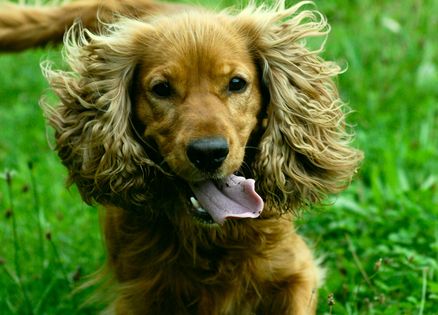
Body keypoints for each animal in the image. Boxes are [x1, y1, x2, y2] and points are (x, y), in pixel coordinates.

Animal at [0, 1, 362, 314]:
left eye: (236, 83)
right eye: (161, 89)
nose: (209, 153)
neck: (209, 237)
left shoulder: (297, 270)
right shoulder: (139, 295)